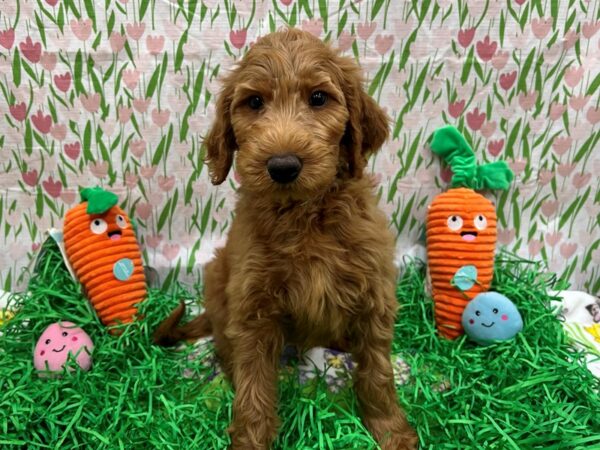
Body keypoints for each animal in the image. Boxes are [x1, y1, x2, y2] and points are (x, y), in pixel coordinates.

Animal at [155, 28, 418, 450]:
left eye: (318, 98)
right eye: (254, 102)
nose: (282, 166)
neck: (304, 214)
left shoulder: (373, 293)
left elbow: (377, 371)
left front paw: (391, 430)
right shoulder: (253, 306)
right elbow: (254, 386)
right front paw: (250, 439)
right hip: (218, 275)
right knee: (228, 348)